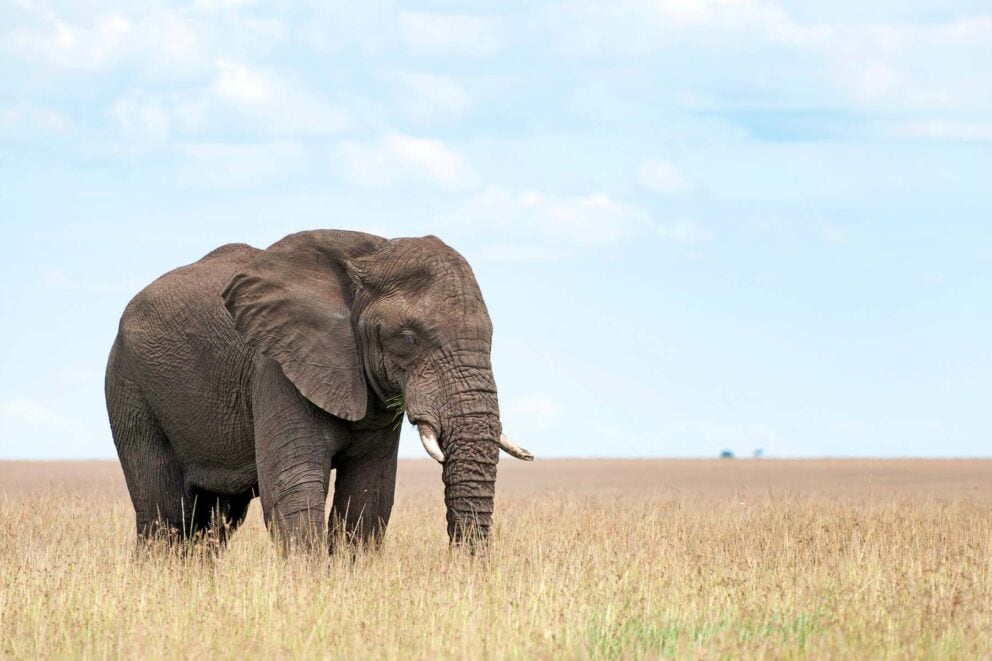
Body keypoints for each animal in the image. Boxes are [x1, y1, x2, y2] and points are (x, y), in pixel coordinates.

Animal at [104, 230, 533, 550]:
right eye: (408, 339)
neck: (371, 252)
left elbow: (369, 497)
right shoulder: (277, 366)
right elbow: (294, 489)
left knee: (214, 521)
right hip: (129, 387)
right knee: (163, 513)